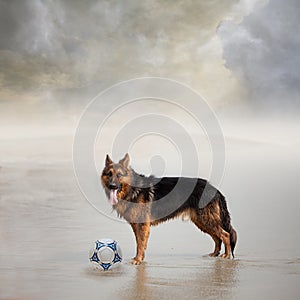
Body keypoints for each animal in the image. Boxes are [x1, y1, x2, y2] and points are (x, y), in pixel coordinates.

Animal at [101, 154, 237, 264]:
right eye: (109, 174)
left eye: (119, 175)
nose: (112, 186)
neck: (133, 189)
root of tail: (215, 189)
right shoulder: (136, 225)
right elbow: (139, 243)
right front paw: (139, 258)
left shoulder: (142, 225)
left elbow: (140, 243)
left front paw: (138, 260)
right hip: (202, 221)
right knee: (217, 237)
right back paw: (215, 254)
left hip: (206, 219)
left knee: (225, 235)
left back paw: (226, 255)